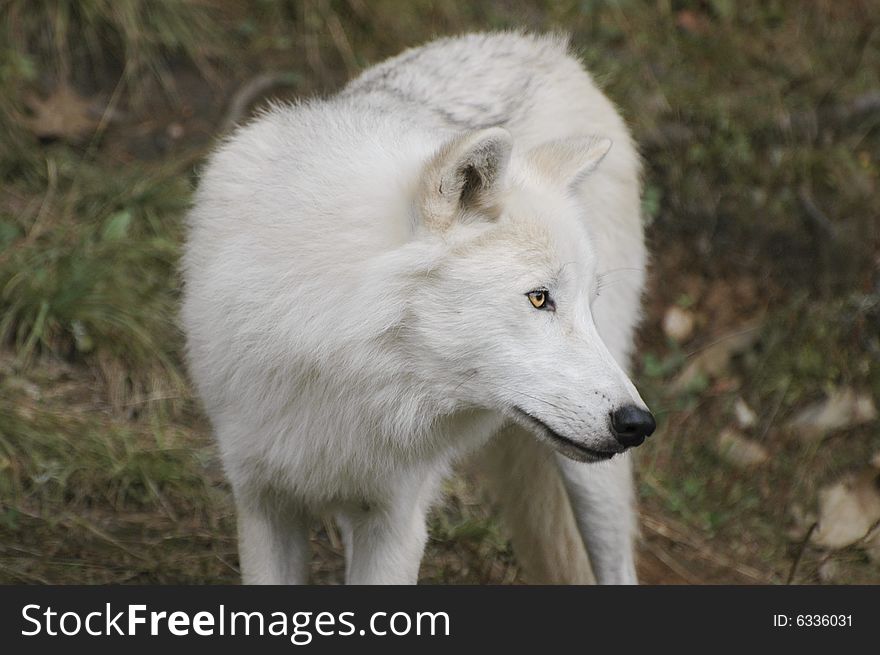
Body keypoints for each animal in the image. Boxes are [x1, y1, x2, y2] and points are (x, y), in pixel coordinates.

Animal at [184, 32, 652, 584]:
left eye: (585, 304)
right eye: (539, 298)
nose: (639, 424)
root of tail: (546, 49)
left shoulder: (396, 521)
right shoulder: (263, 501)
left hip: (593, 483)